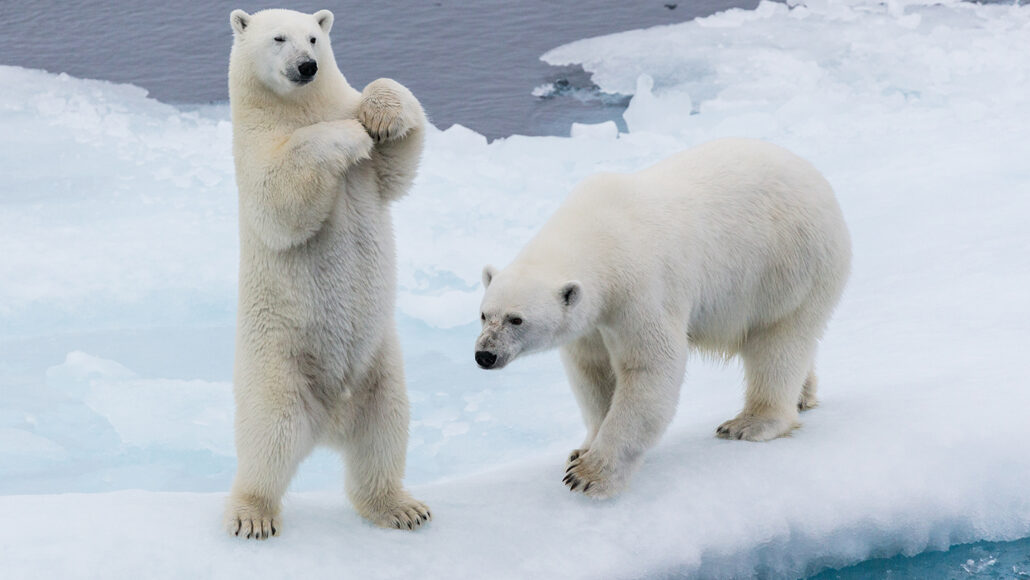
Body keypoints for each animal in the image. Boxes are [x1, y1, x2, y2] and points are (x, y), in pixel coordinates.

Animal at [225, 7, 430, 539]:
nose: (306, 66)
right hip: (276, 365)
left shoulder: (372, 172)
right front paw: (349, 135)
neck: (298, 107)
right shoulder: (253, 147)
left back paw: (401, 507)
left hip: (380, 367)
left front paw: (379, 116)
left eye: (314, 38)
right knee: (268, 440)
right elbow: (280, 198)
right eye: (278, 38)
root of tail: (330, 422)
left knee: (384, 433)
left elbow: (398, 165)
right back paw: (252, 514)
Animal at [473, 139, 852, 498]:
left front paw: (590, 475)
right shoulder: (593, 319)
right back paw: (804, 394)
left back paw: (749, 423)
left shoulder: (640, 288)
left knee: (778, 342)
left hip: (788, 264)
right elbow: (593, 372)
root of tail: (819, 182)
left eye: (516, 320)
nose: (484, 355)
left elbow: (650, 367)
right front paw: (582, 449)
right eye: (484, 315)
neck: (599, 233)